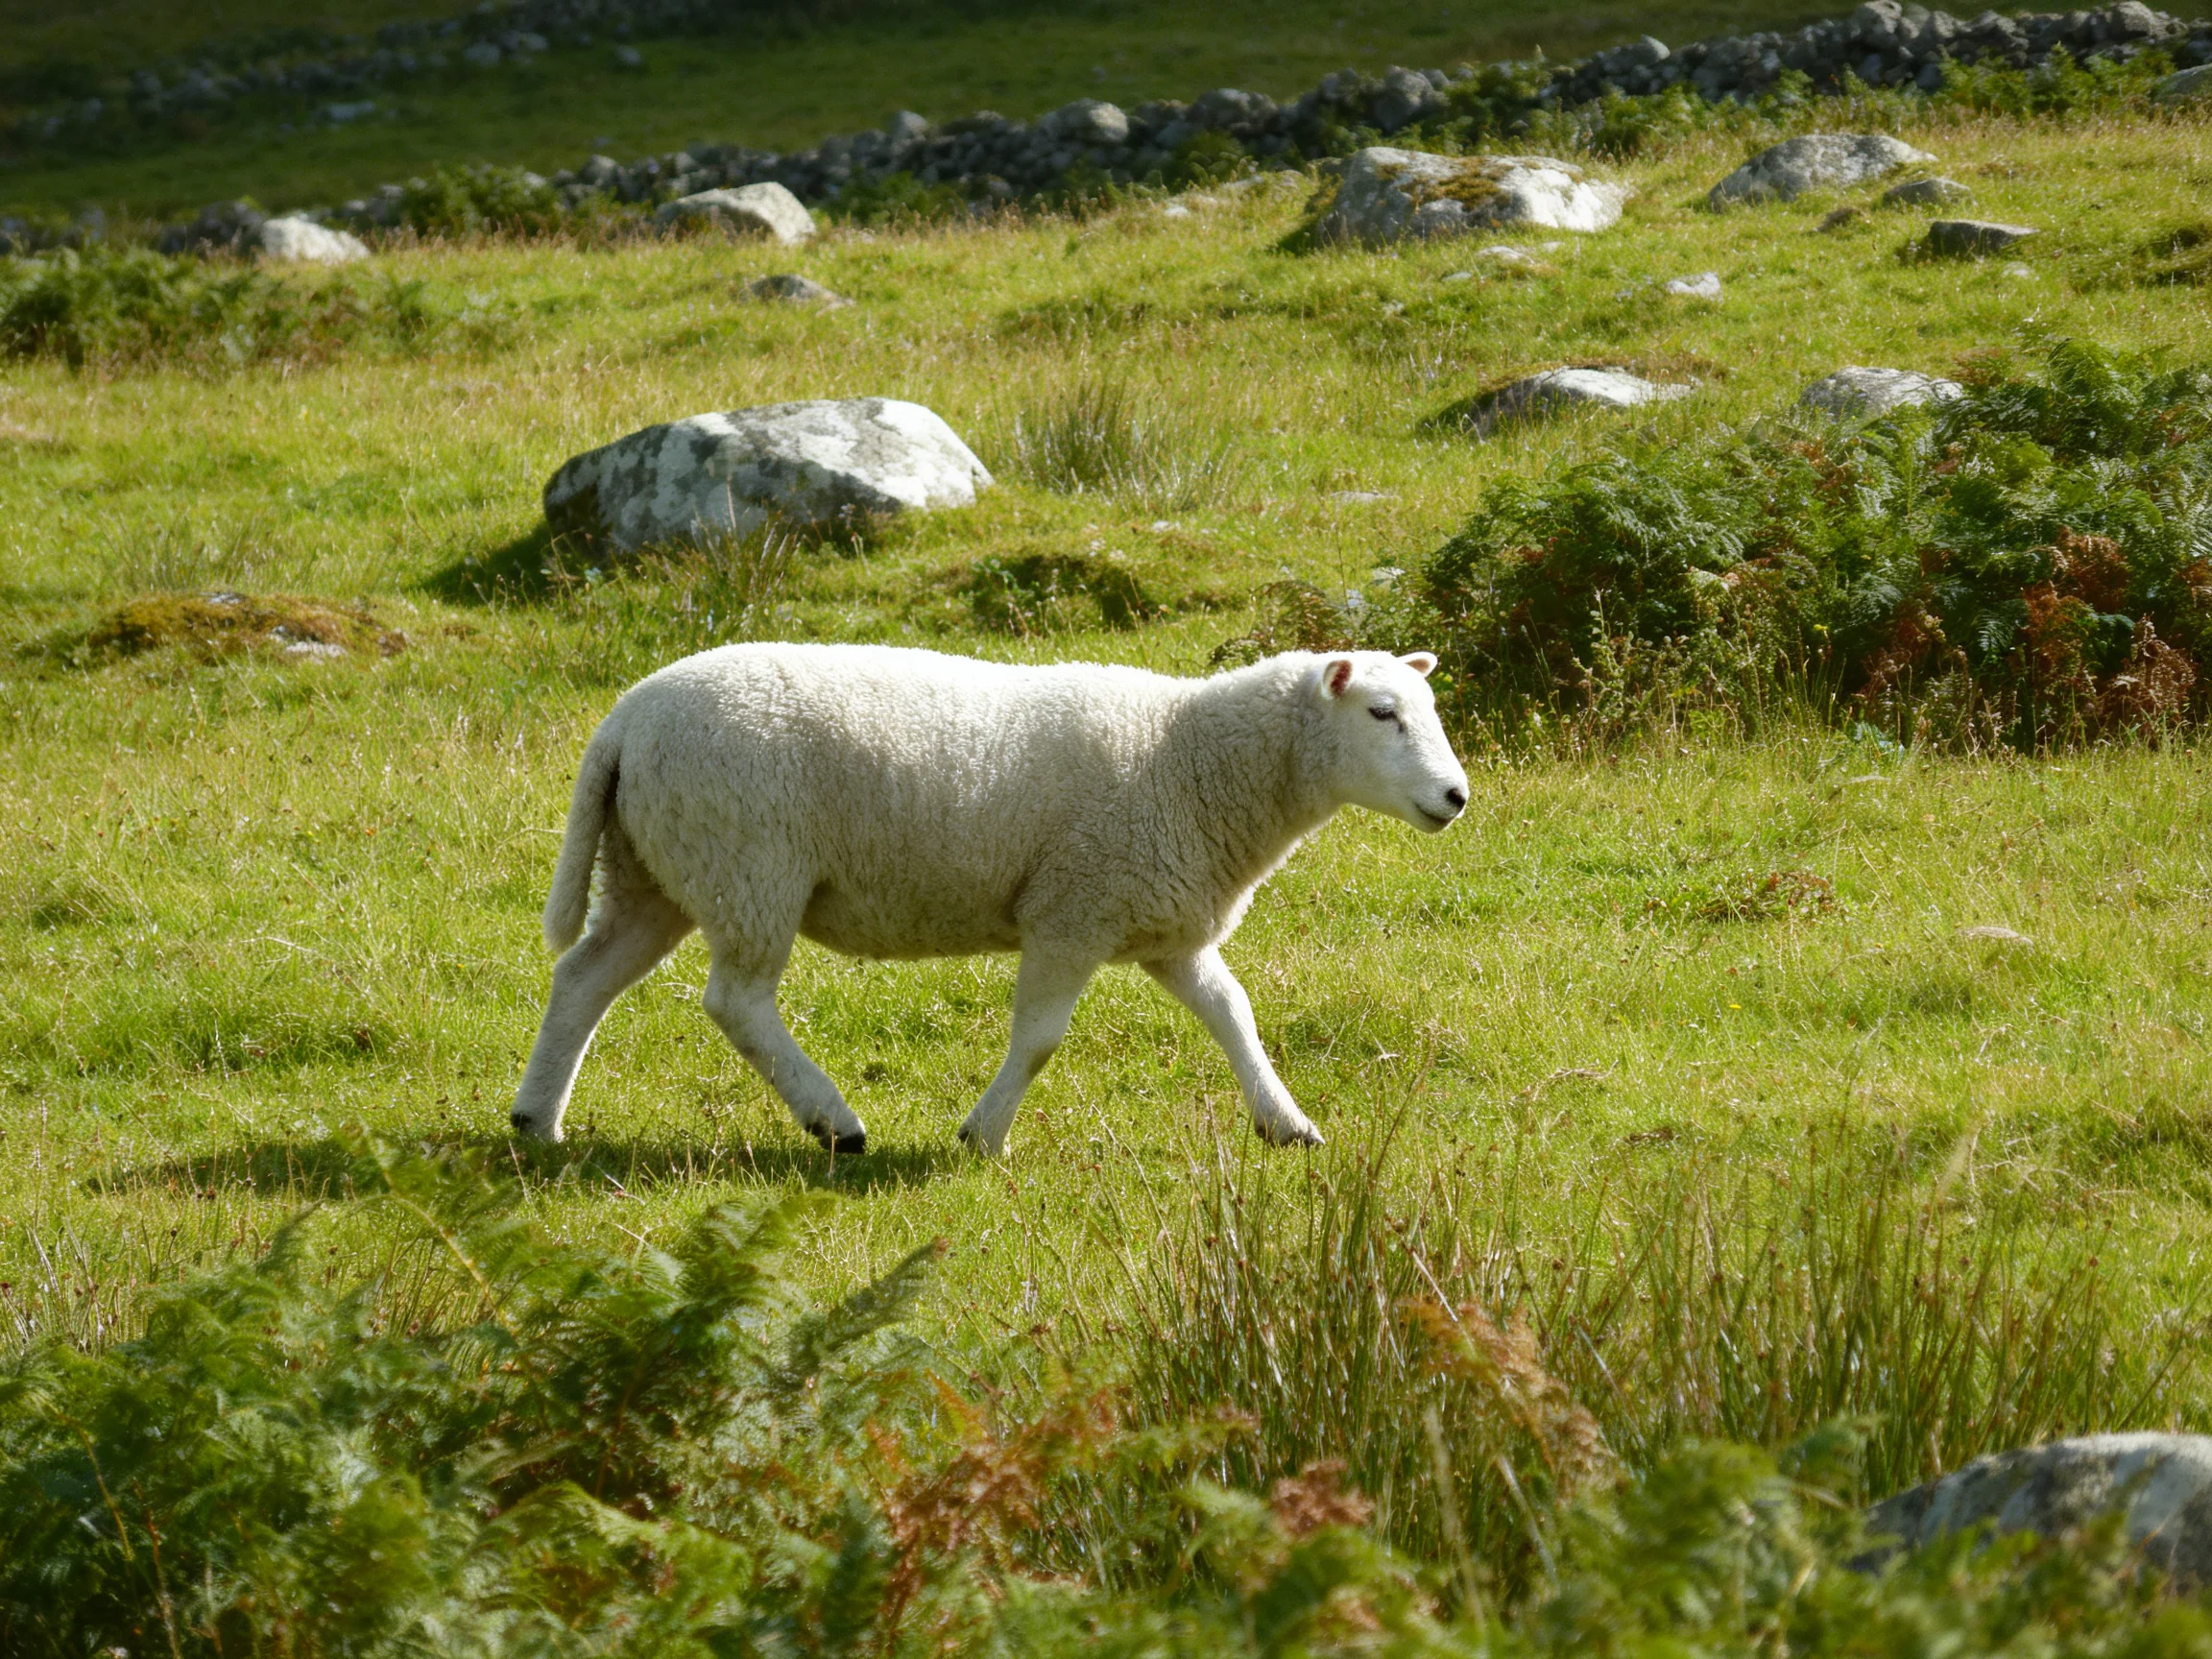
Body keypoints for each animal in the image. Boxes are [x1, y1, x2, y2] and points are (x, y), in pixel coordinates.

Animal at [509, 643, 1469, 1156]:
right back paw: (833, 1121)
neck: (1188, 759)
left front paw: (1286, 1122)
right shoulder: (1071, 909)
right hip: (748, 862)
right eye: (1382, 713)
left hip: (654, 869)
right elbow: (1040, 1039)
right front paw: (984, 1135)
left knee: (585, 978)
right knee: (736, 1001)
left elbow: (1233, 1013)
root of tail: (624, 721)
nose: (1456, 797)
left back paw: (537, 1120)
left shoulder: (1163, 922)